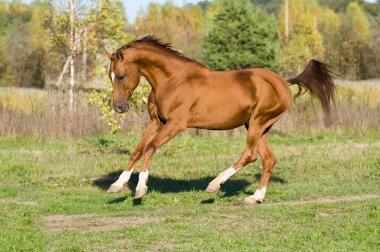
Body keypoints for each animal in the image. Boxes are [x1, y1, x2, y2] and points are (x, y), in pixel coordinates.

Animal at [104, 35, 336, 205]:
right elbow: (137, 150)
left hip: (258, 122)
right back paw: (255, 197)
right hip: (259, 126)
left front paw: (140, 189)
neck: (172, 80)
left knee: (250, 155)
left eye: (122, 75)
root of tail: (283, 82)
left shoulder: (176, 124)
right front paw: (117, 185)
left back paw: (215, 184)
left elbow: (150, 148)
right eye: (110, 76)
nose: (119, 107)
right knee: (269, 159)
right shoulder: (155, 122)